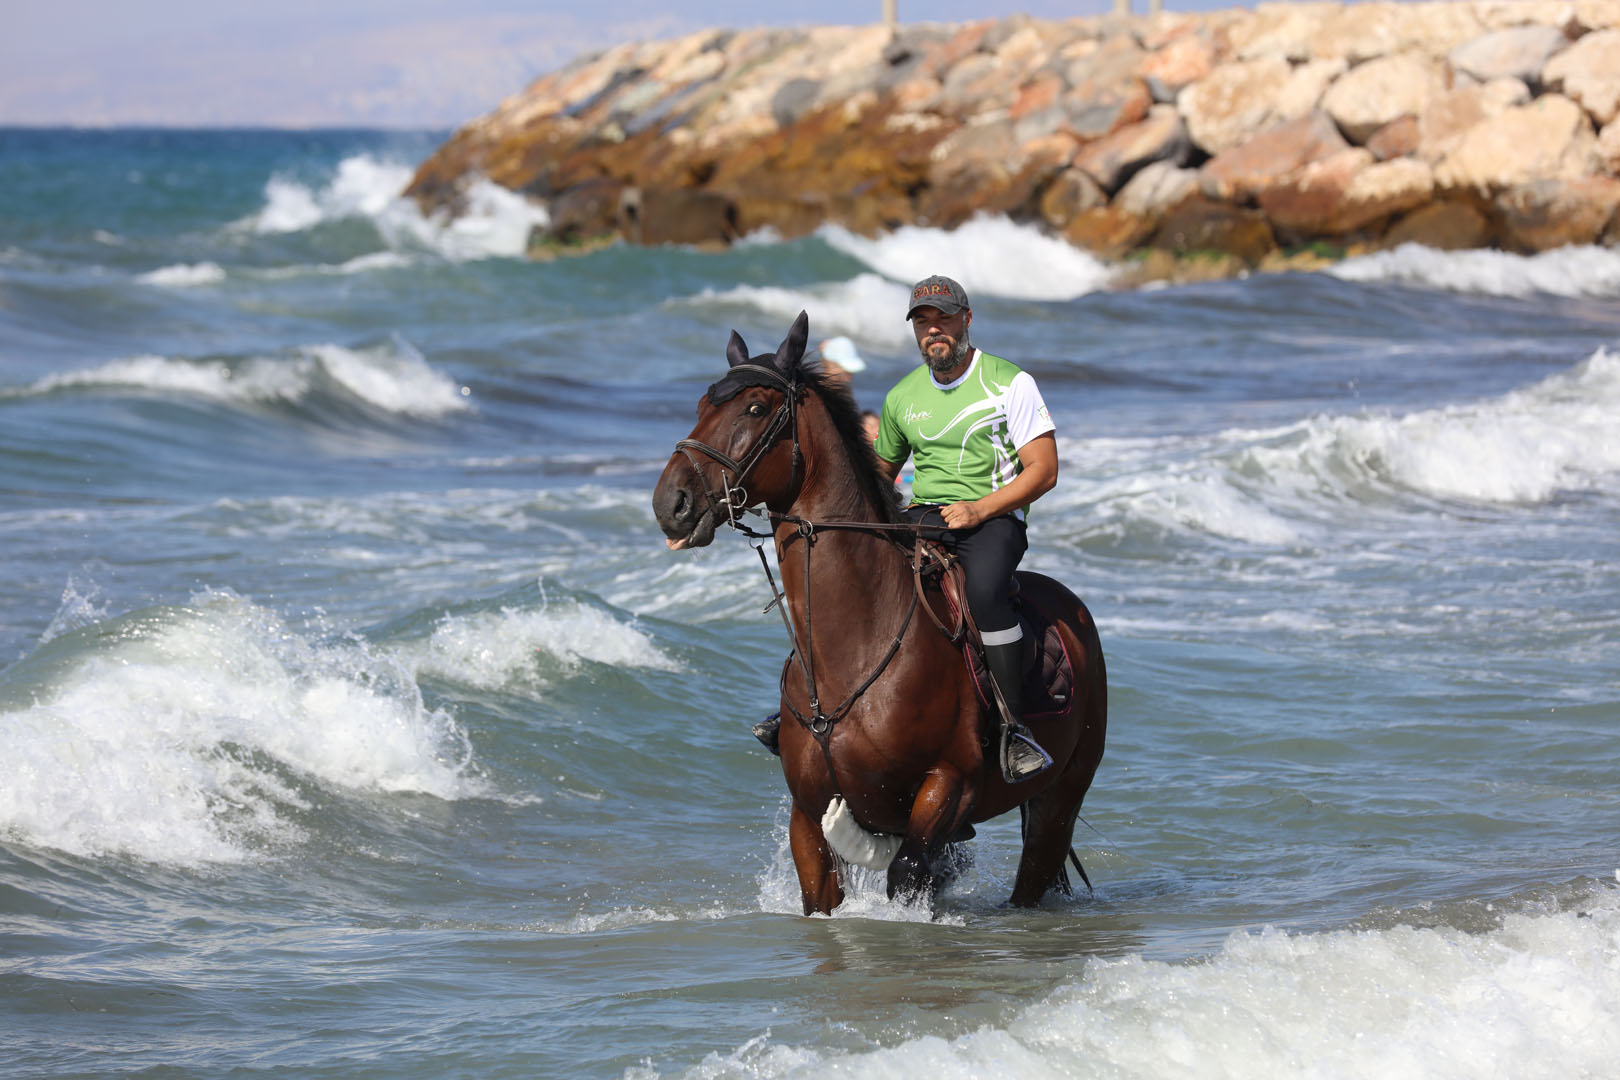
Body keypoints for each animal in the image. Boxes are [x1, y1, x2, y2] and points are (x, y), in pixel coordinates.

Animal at [651, 312, 1108, 913]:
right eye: (704, 404)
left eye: (754, 408)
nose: (671, 504)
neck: (855, 641)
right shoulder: (808, 820)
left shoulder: (947, 788)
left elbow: (909, 872)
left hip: (1059, 802)